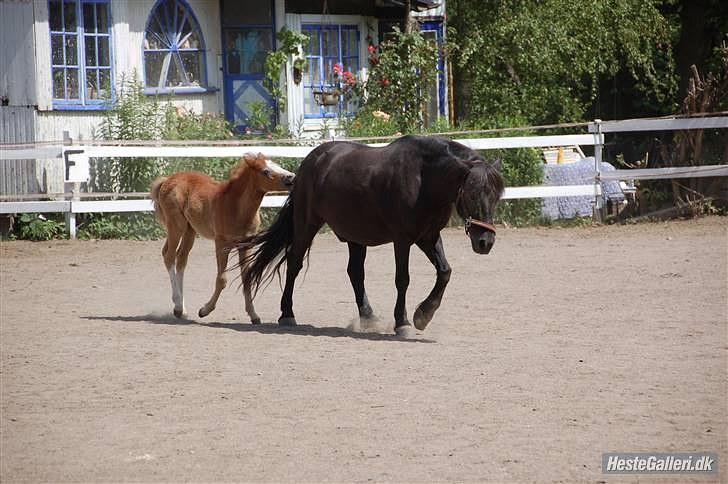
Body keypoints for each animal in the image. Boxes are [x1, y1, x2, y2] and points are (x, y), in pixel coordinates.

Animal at [149, 153, 294, 322]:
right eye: (266, 171)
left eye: (277, 165)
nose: (291, 177)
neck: (235, 206)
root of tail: (167, 180)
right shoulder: (221, 243)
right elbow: (221, 279)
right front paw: (205, 310)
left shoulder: (246, 246)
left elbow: (247, 278)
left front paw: (253, 315)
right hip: (176, 227)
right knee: (169, 256)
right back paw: (178, 307)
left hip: (189, 231)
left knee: (181, 260)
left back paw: (182, 310)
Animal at [242, 133, 504, 336]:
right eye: (471, 194)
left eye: (496, 196)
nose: (485, 241)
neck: (423, 179)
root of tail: (310, 161)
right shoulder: (403, 240)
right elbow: (403, 279)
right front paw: (403, 322)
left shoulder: (428, 236)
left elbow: (445, 271)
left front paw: (424, 314)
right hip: (307, 225)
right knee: (294, 264)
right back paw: (287, 314)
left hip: (356, 236)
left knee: (355, 273)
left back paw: (368, 317)